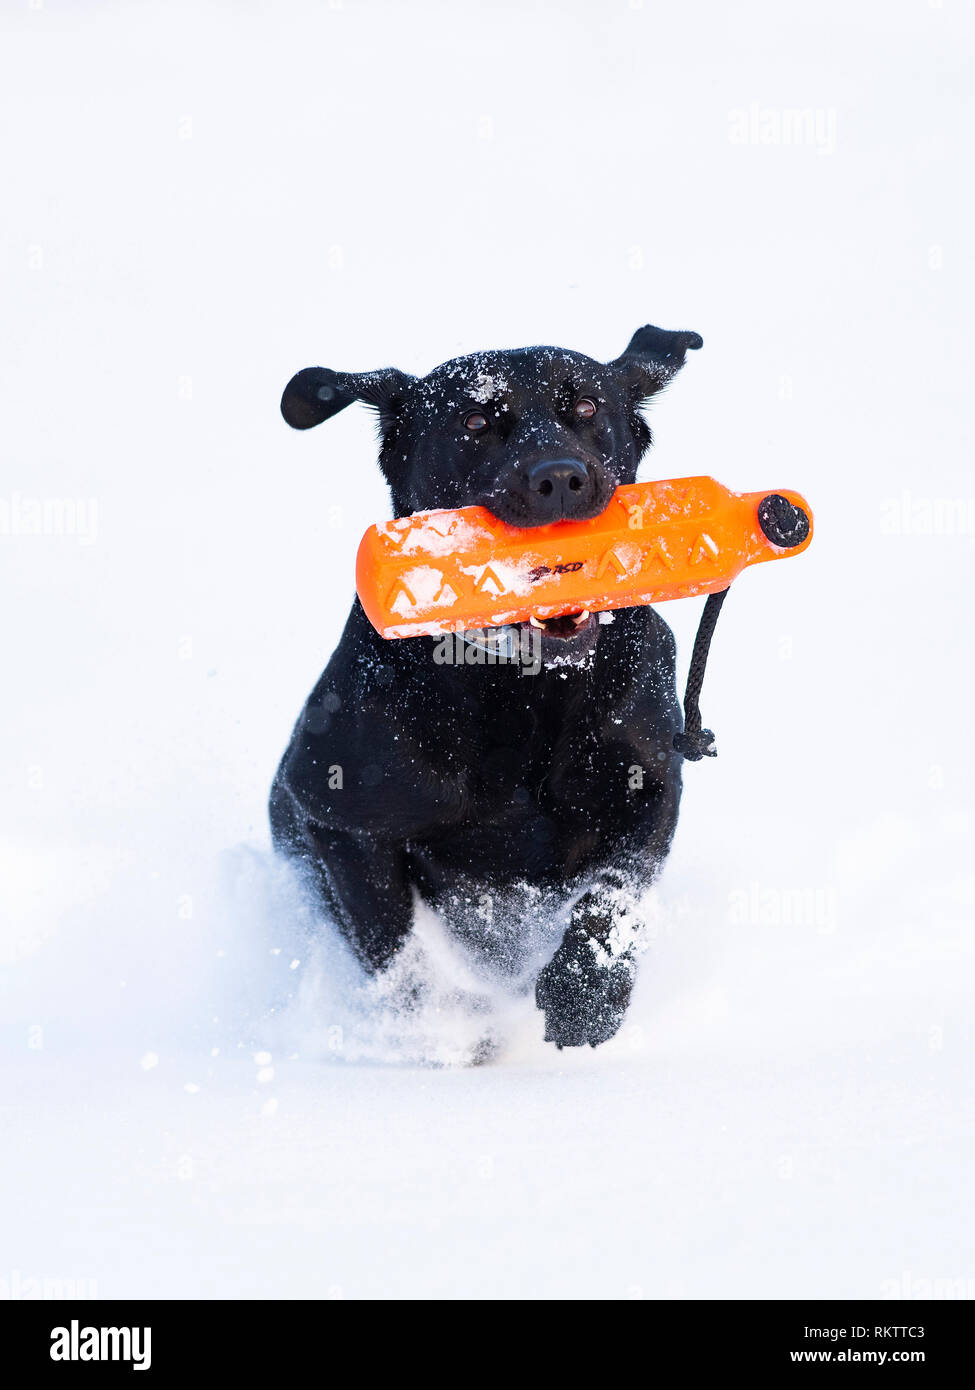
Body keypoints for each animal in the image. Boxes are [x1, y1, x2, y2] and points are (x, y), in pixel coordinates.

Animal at [268, 322, 700, 1045]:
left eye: (586, 408)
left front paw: (586, 997)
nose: (560, 478)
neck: (523, 690)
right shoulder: (335, 813)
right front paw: (443, 1035)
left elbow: (615, 893)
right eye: (473, 422)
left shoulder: (650, 781)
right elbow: (392, 943)